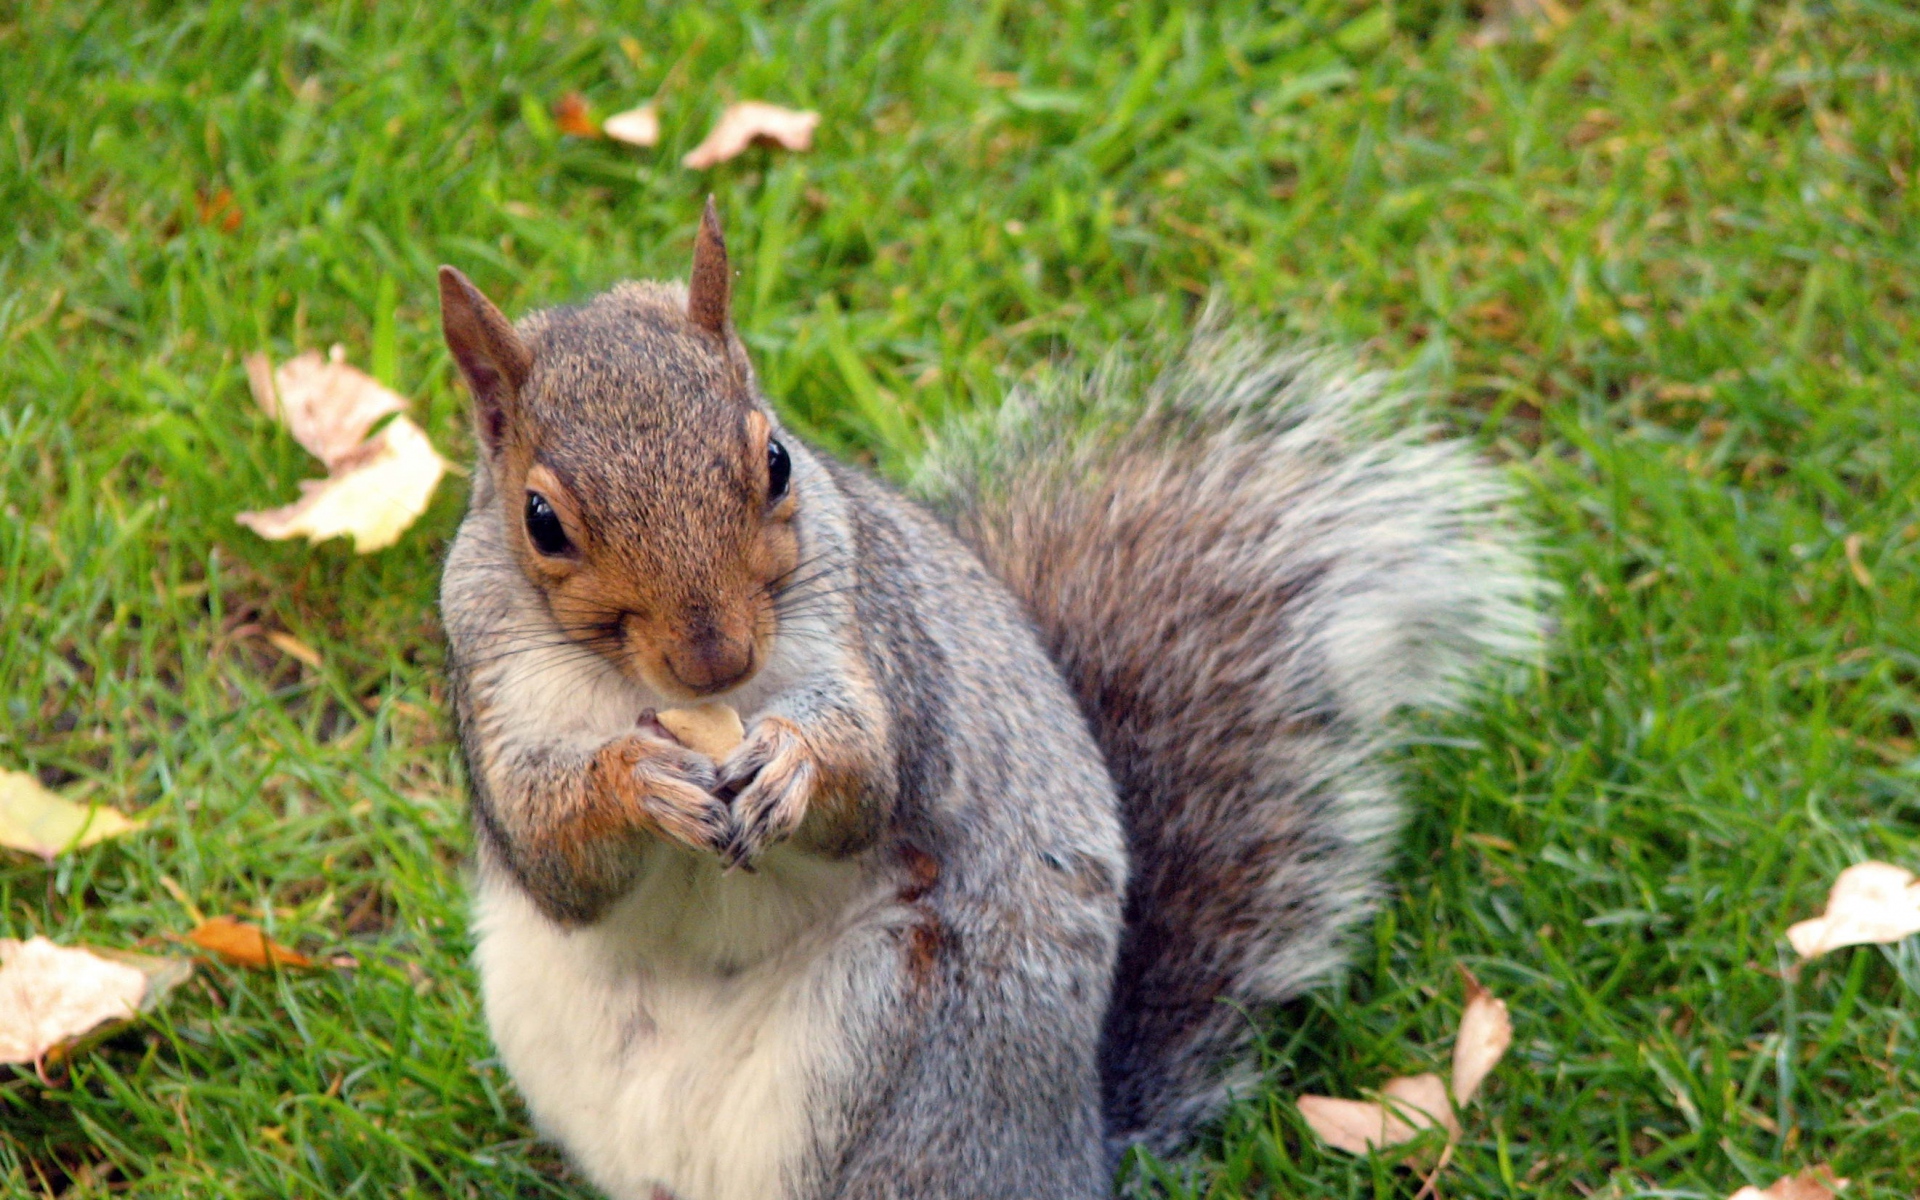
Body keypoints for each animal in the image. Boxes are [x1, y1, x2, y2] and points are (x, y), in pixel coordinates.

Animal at [435, 198, 1543, 1198]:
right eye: (540, 521)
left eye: (778, 460)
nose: (715, 660)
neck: (656, 693)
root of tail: (1073, 1149)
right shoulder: (494, 691)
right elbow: (552, 853)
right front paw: (639, 779)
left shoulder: (878, 638)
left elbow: (871, 778)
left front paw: (793, 762)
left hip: (900, 1043)